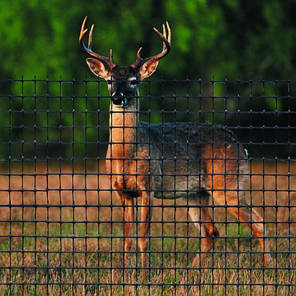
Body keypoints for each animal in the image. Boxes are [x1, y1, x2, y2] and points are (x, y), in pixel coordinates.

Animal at [79, 15, 272, 276]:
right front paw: (125, 273)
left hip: (229, 185)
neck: (125, 154)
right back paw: (189, 272)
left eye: (133, 81)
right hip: (196, 193)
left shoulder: (148, 185)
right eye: (109, 80)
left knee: (258, 222)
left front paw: (143, 275)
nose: (117, 97)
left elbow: (143, 237)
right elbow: (127, 238)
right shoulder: (121, 190)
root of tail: (241, 145)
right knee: (211, 232)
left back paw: (268, 269)